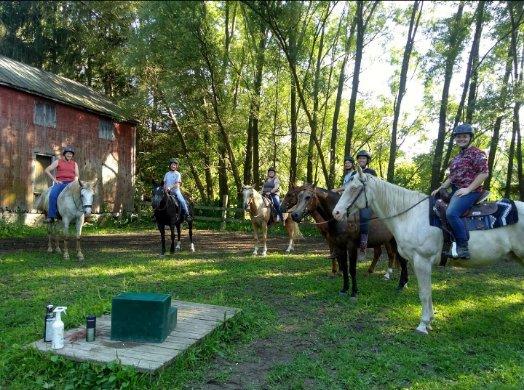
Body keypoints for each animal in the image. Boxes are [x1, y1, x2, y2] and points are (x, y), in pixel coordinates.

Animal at [334, 166, 520, 334]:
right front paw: (430, 320)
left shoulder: (422, 260)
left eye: (354, 188)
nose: (336, 213)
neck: (411, 215)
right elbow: (428, 292)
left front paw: (422, 325)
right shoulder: (418, 262)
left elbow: (424, 293)